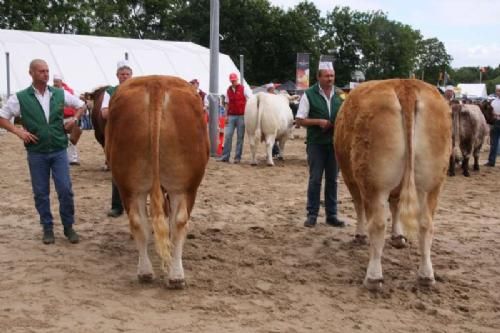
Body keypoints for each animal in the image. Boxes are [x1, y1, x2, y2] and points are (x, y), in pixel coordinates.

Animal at [105, 75, 209, 288]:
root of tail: (156, 82)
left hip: (130, 184)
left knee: (140, 222)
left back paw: (146, 272)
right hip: (185, 186)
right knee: (178, 223)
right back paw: (176, 275)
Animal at [334, 79, 452, 290]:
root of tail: (405, 85)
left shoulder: (350, 177)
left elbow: (359, 205)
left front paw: (360, 235)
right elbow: (396, 205)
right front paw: (398, 236)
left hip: (374, 182)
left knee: (378, 223)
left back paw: (373, 277)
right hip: (432, 184)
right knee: (426, 224)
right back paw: (426, 276)